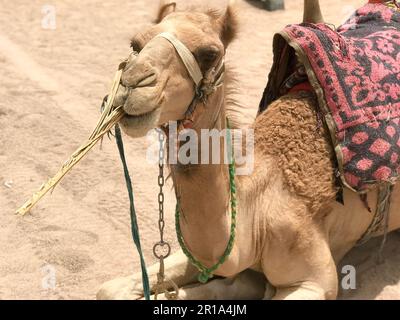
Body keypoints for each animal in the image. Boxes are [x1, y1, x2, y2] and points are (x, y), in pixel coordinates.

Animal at [97, 0, 400, 300]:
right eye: (136, 44)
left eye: (209, 53)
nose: (132, 83)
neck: (257, 209)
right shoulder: (214, 257)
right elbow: (110, 289)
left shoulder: (315, 281)